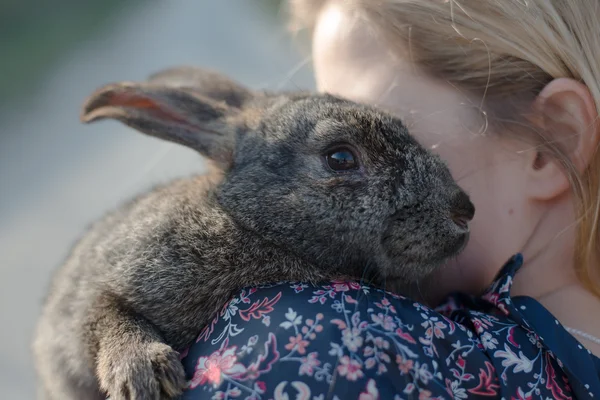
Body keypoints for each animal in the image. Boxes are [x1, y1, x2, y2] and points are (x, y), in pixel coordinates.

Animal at [32, 66, 476, 400]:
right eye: (340, 157)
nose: (464, 210)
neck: (251, 225)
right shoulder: (103, 289)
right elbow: (104, 315)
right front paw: (144, 373)